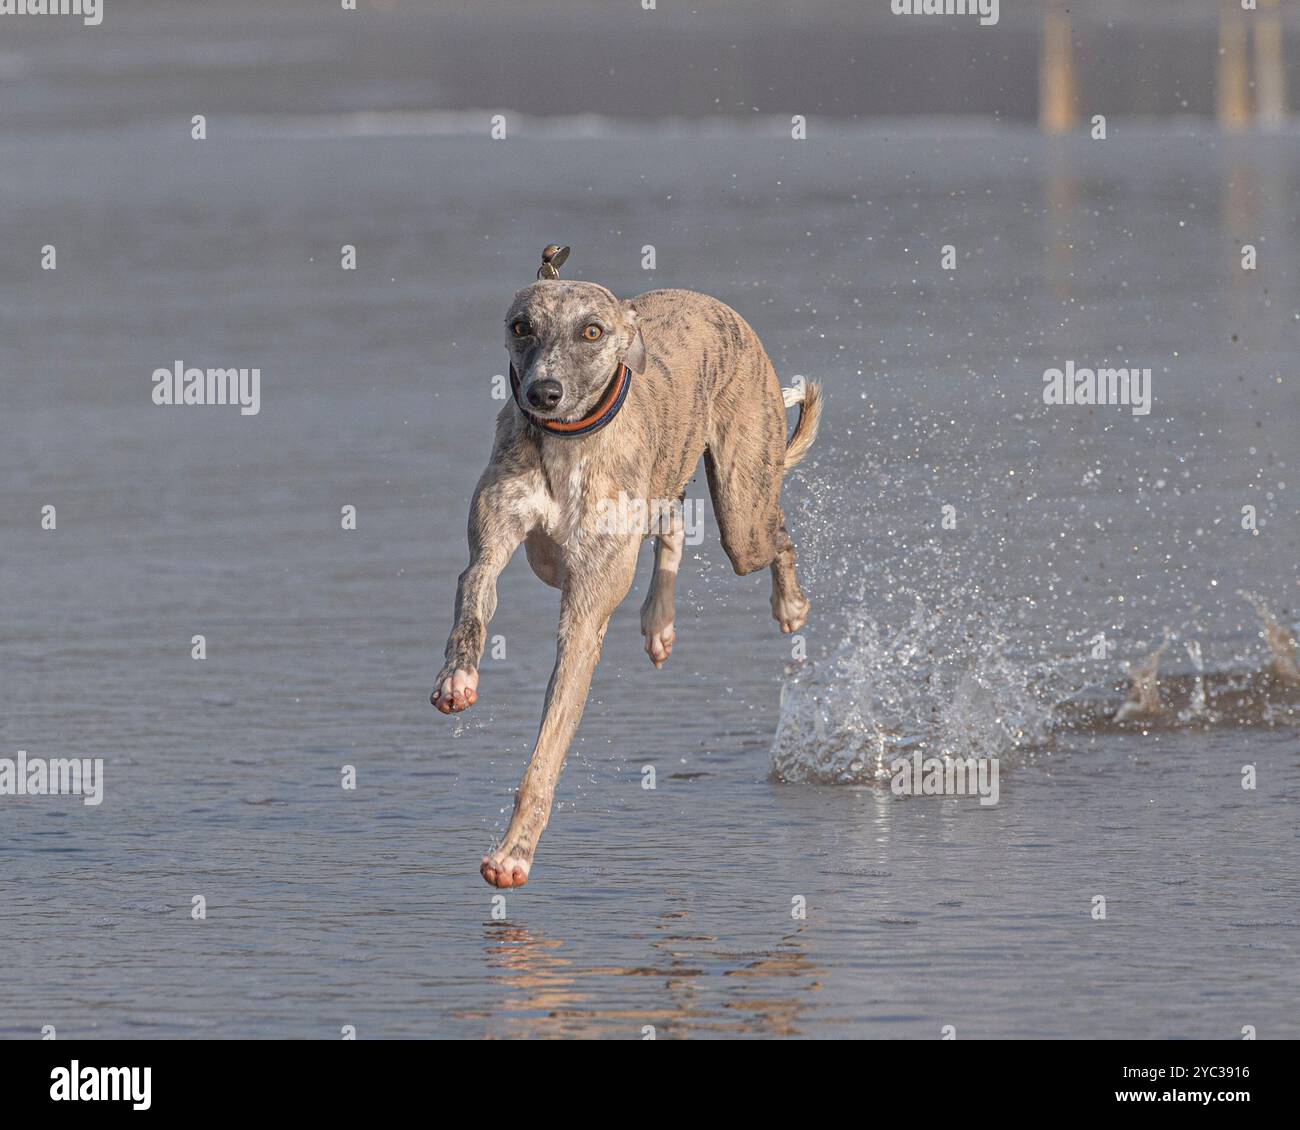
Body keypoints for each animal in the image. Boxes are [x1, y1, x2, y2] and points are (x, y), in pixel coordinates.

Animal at [436, 244, 821, 884]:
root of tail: (715, 306)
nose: (542, 393)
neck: (567, 442)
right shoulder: (489, 546)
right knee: (672, 520)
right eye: (522, 327)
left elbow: (546, 753)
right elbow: (472, 599)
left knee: (776, 535)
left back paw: (789, 605)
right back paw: (659, 622)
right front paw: (457, 681)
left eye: (591, 331)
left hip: (744, 512)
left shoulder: (584, 615)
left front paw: (513, 854)